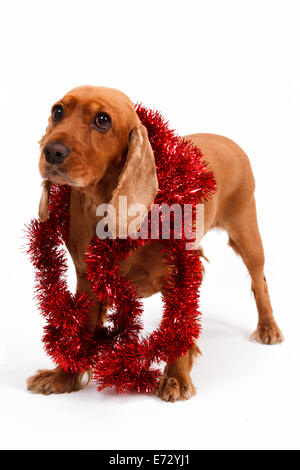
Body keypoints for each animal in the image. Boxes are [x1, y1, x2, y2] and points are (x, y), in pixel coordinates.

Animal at [26, 86, 284, 402]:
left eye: (102, 120)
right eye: (58, 111)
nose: (52, 150)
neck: (101, 205)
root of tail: (229, 141)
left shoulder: (181, 276)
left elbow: (178, 326)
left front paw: (176, 378)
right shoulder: (87, 277)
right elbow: (83, 327)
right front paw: (64, 376)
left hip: (248, 233)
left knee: (260, 282)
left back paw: (268, 327)